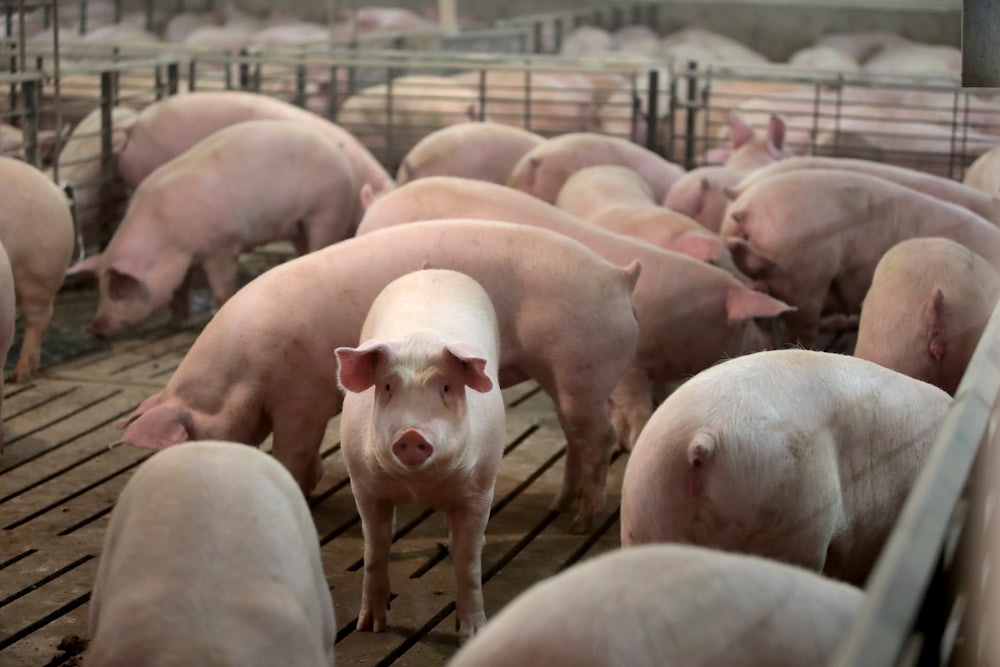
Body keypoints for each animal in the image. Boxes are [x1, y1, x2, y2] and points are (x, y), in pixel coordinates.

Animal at [67, 120, 358, 339]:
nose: (93, 327)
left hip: (325, 210)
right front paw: (170, 327)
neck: (165, 235)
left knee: (322, 242)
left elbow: (221, 290)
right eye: (100, 288)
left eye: (118, 291)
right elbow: (179, 293)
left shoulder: (222, 246)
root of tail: (342, 157)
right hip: (297, 225)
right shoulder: (185, 259)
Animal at [117, 219, 641, 534]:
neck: (242, 372)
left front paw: (299, 489)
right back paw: (559, 507)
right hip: (567, 376)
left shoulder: (299, 396)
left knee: (598, 438)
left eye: (189, 443)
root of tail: (619, 277)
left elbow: (293, 450)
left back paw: (580, 522)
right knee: (576, 438)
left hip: (582, 370)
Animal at [336, 269, 505, 639]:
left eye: (446, 387)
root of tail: (432, 270)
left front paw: (471, 633)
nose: (412, 435)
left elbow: (469, 562)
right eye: (387, 386)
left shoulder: (481, 489)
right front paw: (370, 627)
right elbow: (374, 550)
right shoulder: (363, 485)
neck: (419, 488)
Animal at [356, 176, 794, 450]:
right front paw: (634, 438)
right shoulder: (633, 366)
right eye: (754, 318)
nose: (772, 347)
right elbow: (635, 405)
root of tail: (377, 203)